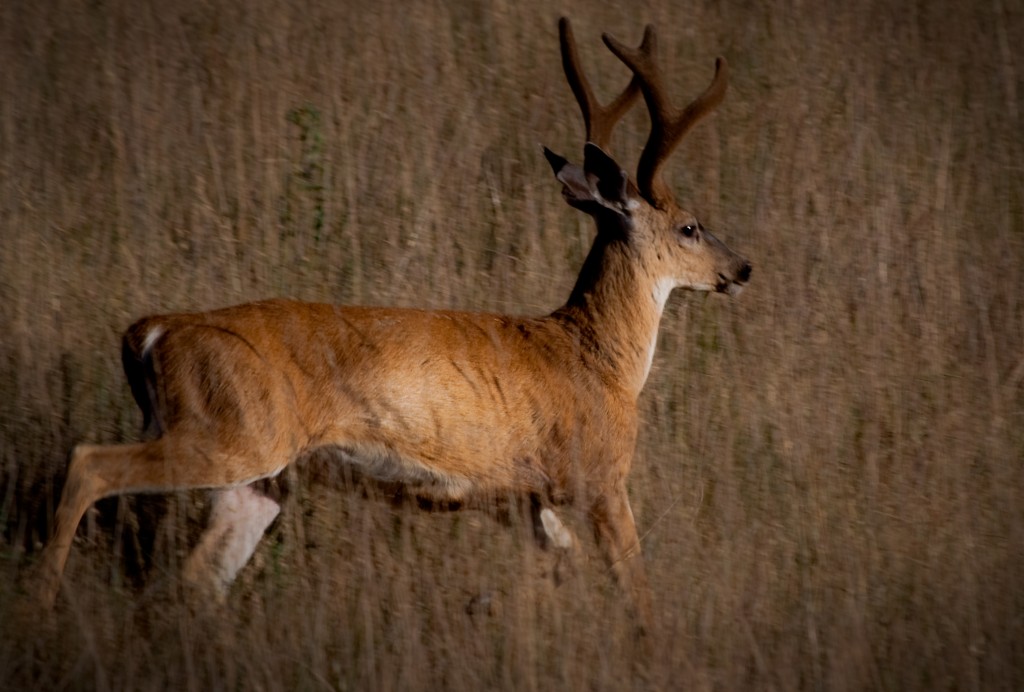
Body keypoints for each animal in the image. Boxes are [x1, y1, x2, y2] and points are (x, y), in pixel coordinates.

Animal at [36, 18, 749, 630]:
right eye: (689, 226)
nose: (741, 267)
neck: (601, 359)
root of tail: (151, 332)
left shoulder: (519, 496)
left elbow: (560, 563)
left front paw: (488, 607)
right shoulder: (598, 476)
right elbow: (638, 591)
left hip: (259, 479)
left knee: (195, 579)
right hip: (229, 433)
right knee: (91, 464)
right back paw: (37, 604)